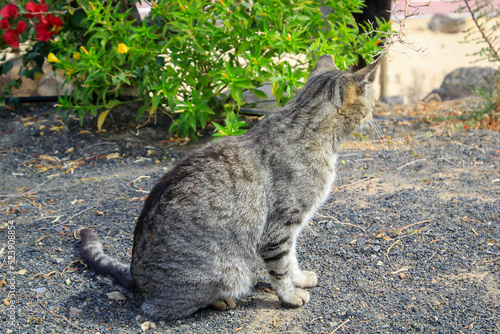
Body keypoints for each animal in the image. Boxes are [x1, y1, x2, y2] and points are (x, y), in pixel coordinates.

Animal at [79, 55, 376, 320]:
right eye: (371, 99)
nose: (374, 113)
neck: (307, 127)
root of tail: (137, 286)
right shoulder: (279, 227)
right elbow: (281, 267)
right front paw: (290, 295)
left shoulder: (290, 229)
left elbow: (291, 259)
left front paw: (299, 278)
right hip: (226, 272)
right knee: (171, 306)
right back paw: (223, 299)